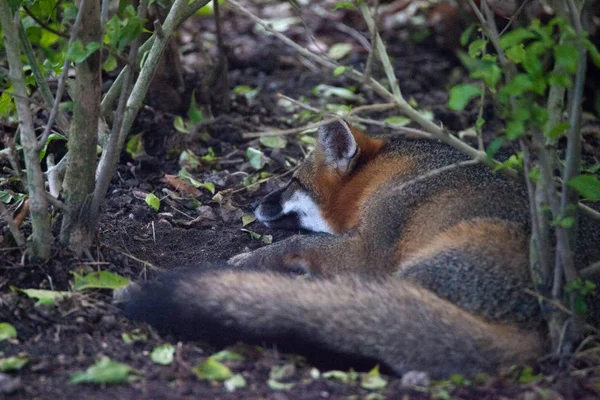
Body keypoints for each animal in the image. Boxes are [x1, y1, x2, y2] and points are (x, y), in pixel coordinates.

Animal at [117, 119, 600, 378]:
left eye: (291, 181)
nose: (254, 204)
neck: (389, 173)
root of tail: (551, 324)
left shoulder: (372, 251)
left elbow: (303, 239)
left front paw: (253, 260)